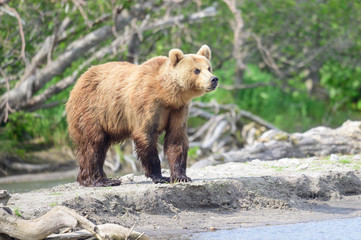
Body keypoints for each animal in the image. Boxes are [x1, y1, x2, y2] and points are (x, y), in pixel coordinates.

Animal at [65, 45, 217, 188]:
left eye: (209, 67)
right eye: (196, 70)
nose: (213, 79)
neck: (167, 95)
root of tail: (77, 83)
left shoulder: (178, 109)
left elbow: (176, 138)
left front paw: (181, 176)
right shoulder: (145, 103)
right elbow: (145, 135)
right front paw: (160, 177)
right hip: (92, 111)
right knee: (93, 144)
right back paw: (102, 180)